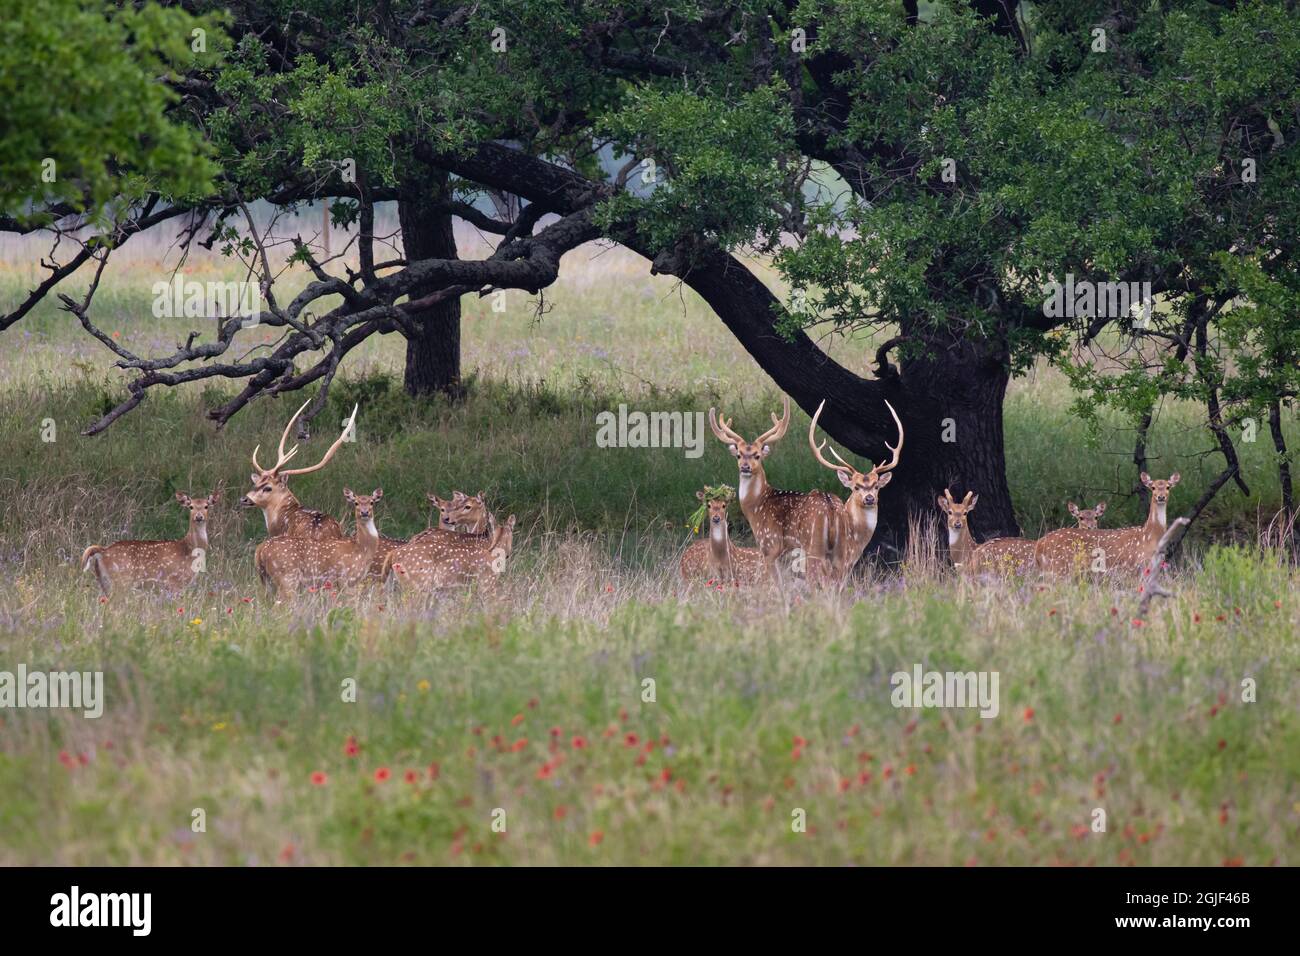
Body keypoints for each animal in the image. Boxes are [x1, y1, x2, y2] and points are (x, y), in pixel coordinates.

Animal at [81, 491, 220, 596]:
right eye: (191, 506)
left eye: (206, 506)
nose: (199, 517)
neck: (189, 549)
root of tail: (102, 551)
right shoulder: (175, 581)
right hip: (121, 579)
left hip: (104, 582)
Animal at [255, 489, 384, 597]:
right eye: (356, 503)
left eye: (372, 502)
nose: (364, 512)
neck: (361, 548)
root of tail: (260, 550)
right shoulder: (347, 578)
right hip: (286, 576)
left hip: (267, 579)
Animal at [709, 395, 843, 586]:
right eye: (739, 455)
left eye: (757, 455)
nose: (745, 467)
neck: (756, 505)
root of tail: (830, 507)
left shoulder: (769, 546)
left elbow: (777, 583)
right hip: (843, 544)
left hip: (813, 545)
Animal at [1035, 473, 1180, 576]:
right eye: (1153, 487)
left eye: (1168, 486)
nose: (1161, 497)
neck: (1150, 535)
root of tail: (1039, 545)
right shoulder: (1132, 565)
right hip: (1059, 566)